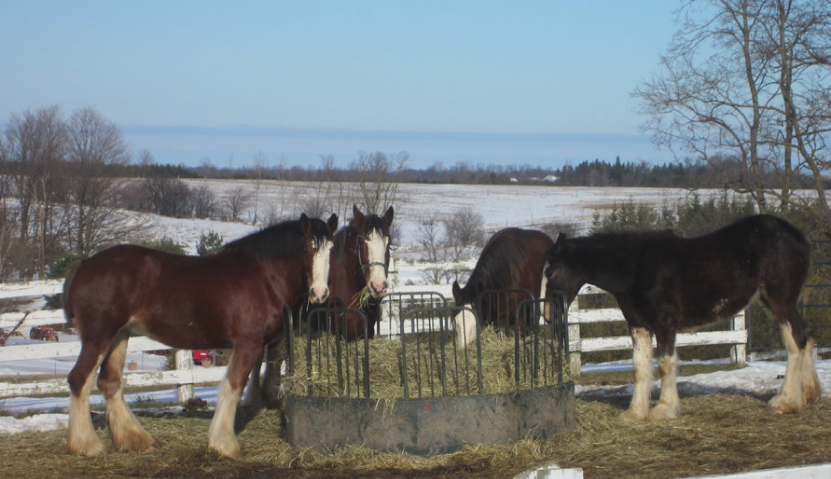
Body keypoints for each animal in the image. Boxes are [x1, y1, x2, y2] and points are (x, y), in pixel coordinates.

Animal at [64, 215, 338, 462]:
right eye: (306, 248)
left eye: (331, 250)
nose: (320, 293)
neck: (264, 275)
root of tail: (84, 264)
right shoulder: (248, 344)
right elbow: (233, 386)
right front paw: (224, 445)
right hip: (99, 337)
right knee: (79, 379)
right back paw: (88, 445)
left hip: (119, 337)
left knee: (110, 383)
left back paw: (138, 440)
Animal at [544, 216, 824, 422]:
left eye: (551, 272)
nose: (547, 316)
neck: (636, 267)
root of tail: (798, 236)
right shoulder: (638, 325)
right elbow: (639, 366)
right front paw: (635, 413)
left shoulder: (664, 322)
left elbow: (665, 362)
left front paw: (664, 409)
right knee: (807, 338)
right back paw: (810, 395)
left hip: (780, 301)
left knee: (795, 343)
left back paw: (785, 402)